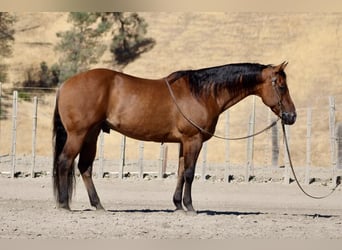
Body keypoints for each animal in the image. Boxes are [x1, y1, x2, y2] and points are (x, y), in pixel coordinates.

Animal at [52, 62, 296, 211]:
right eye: (281, 86)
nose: (291, 116)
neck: (203, 93)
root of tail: (65, 85)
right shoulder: (193, 140)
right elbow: (189, 173)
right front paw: (189, 206)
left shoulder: (182, 143)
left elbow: (180, 172)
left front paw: (178, 204)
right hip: (78, 134)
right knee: (65, 162)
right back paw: (64, 204)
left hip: (91, 135)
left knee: (84, 167)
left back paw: (98, 205)